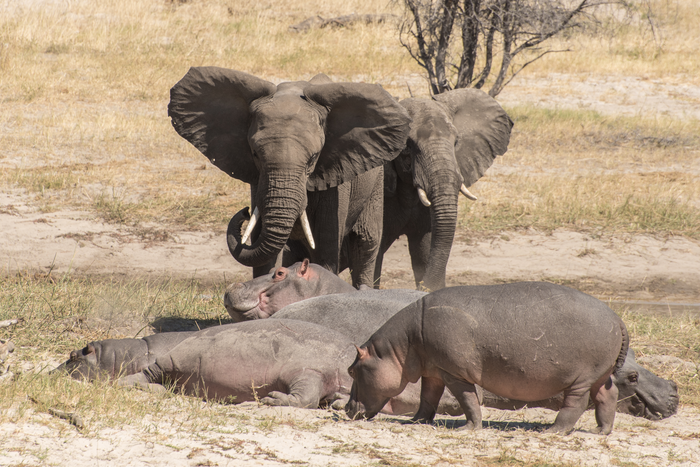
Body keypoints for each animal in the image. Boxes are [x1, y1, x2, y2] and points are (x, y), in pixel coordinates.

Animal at [168, 67, 411, 287]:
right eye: (255, 154)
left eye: (313, 158)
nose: (244, 212)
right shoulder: (258, 181)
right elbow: (266, 258)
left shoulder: (336, 184)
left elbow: (325, 252)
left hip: (375, 187)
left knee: (366, 247)